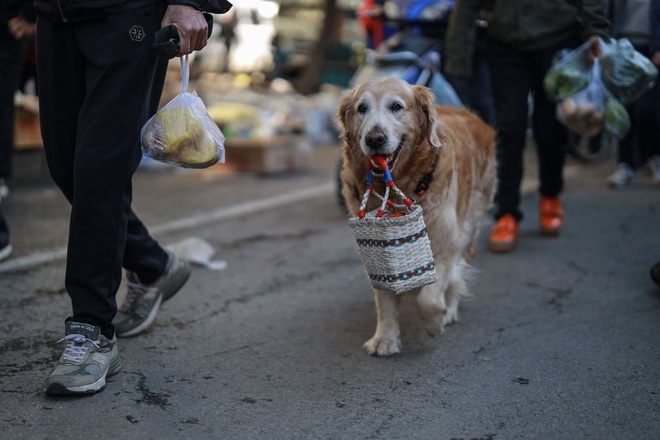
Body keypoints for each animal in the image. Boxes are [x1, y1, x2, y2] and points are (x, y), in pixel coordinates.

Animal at [340, 77, 496, 356]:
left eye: (396, 106)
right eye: (361, 108)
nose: (374, 138)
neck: (404, 181)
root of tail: (472, 116)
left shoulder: (444, 241)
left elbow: (430, 298)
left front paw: (434, 322)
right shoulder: (379, 246)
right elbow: (385, 296)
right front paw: (385, 338)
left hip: (470, 224)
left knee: (458, 271)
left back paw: (449, 310)